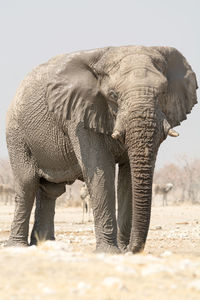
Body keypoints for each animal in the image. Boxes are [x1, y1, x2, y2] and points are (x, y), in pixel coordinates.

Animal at [5, 45, 198, 253]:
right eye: (113, 95)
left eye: (163, 93)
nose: (130, 248)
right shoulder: (80, 115)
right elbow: (102, 171)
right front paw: (110, 252)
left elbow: (128, 176)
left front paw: (121, 250)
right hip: (16, 134)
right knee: (27, 183)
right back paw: (17, 246)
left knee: (51, 189)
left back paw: (45, 243)